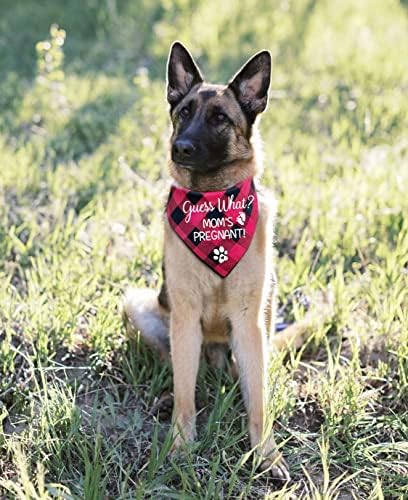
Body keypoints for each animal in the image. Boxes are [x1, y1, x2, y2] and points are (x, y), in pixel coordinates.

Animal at [122, 43, 312, 480]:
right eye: (184, 112)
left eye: (220, 119)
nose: (180, 148)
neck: (212, 205)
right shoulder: (186, 316)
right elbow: (185, 397)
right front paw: (180, 446)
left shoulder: (248, 321)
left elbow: (257, 402)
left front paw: (266, 453)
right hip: (141, 307)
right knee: (179, 371)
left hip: (257, 330)